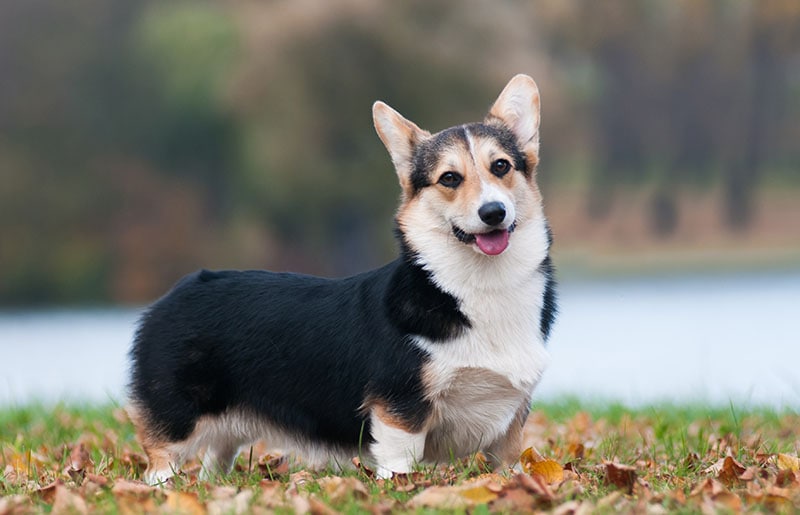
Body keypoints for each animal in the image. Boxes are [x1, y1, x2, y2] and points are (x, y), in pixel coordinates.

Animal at [130, 74, 556, 486]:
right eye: (450, 178)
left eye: (500, 166)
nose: (493, 212)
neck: (480, 287)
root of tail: (176, 292)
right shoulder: (399, 406)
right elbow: (400, 461)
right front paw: (399, 489)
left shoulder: (510, 420)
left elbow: (507, 467)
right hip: (177, 418)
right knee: (160, 464)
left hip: (226, 431)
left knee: (213, 463)